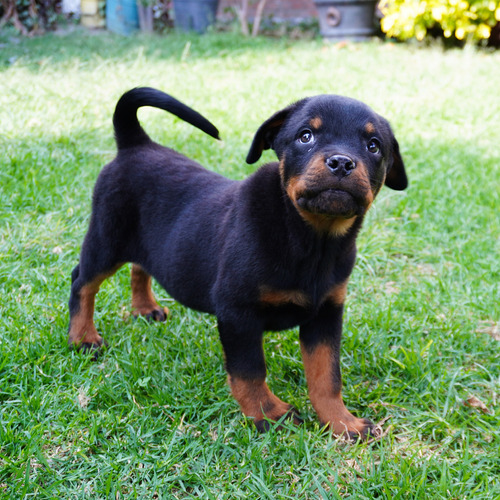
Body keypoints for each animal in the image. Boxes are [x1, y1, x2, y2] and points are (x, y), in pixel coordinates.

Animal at [69, 88, 406, 440]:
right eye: (306, 136)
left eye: (373, 146)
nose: (341, 162)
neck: (313, 240)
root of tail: (135, 144)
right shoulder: (237, 311)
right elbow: (250, 371)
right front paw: (269, 414)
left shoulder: (326, 312)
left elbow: (326, 375)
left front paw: (342, 423)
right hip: (106, 238)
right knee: (82, 282)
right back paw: (83, 338)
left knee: (140, 267)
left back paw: (145, 308)